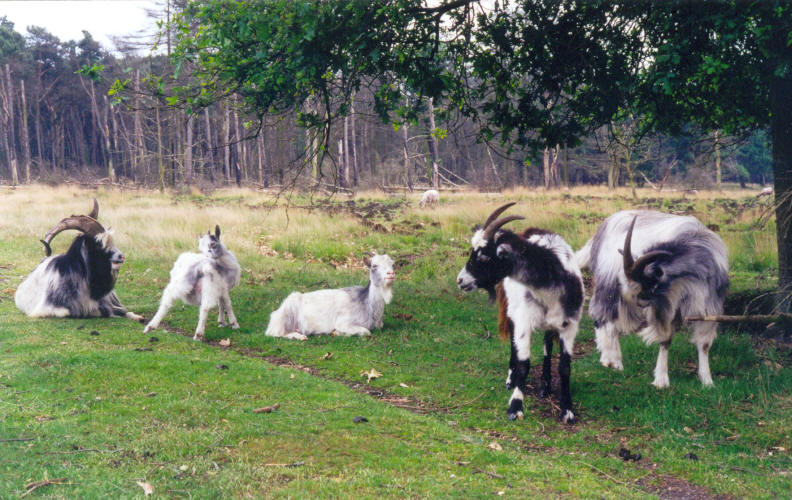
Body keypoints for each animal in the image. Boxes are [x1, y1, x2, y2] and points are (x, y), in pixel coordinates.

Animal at [266, 254, 396, 340]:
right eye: (374, 265)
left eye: (392, 264)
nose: (391, 274)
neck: (367, 305)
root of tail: (275, 315)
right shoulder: (343, 322)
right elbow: (366, 331)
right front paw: (336, 333)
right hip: (286, 314)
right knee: (274, 333)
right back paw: (299, 336)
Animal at [454, 205, 584, 424]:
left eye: (484, 256)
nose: (460, 280)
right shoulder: (524, 321)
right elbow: (524, 363)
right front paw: (515, 407)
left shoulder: (569, 325)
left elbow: (565, 367)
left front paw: (567, 410)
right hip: (512, 309)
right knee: (514, 345)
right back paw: (510, 379)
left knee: (547, 345)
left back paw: (545, 386)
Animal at [576, 209, 732, 388]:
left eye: (650, 288)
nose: (641, 303)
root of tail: (604, 226)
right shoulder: (666, 306)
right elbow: (665, 339)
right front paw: (661, 380)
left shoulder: (709, 304)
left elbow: (704, 344)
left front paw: (707, 381)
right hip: (608, 285)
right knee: (601, 315)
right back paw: (608, 359)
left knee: (614, 324)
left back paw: (617, 362)